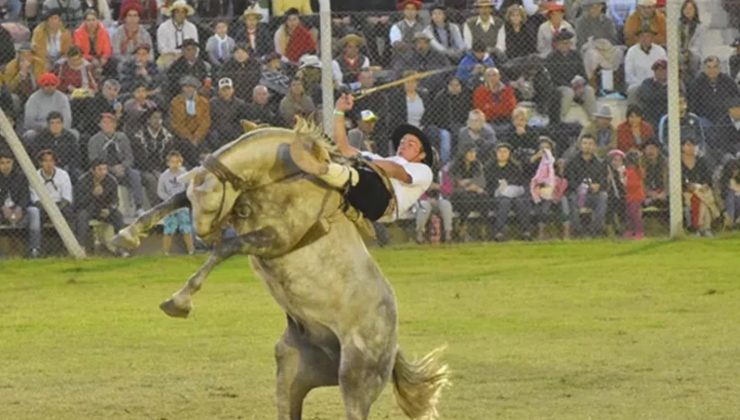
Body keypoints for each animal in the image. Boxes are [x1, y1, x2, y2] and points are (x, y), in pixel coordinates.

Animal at [114, 117, 450, 420]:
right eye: (198, 199)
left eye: (210, 200)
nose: (203, 233)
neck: (283, 176)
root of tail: (393, 344)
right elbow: (169, 201)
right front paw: (125, 236)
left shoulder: (277, 238)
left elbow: (225, 248)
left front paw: (179, 301)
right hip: (291, 370)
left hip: (356, 377)